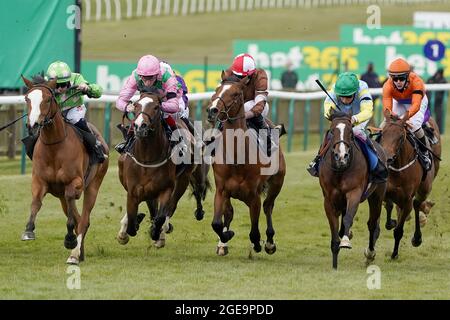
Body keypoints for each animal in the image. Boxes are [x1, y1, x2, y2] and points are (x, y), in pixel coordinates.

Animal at [21, 76, 109, 264]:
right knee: (77, 217)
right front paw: (29, 230)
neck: (54, 147)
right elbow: (36, 202)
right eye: (26, 99)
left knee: (84, 220)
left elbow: (71, 208)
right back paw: (80, 252)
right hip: (60, 195)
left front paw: (69, 240)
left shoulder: (75, 182)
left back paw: (74, 254)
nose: (33, 125)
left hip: (93, 185)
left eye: (48, 99)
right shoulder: (40, 181)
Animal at [117, 92, 207, 248]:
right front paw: (133, 224)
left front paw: (156, 232)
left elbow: (161, 216)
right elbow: (133, 222)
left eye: (156, 107)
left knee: (188, 196)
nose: (140, 126)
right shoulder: (134, 191)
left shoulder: (166, 189)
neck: (147, 159)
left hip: (185, 179)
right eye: (136, 105)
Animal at [207, 74, 286, 256]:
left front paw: (257, 243)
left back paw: (269, 242)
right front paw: (225, 237)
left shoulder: (254, 195)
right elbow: (217, 223)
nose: (212, 110)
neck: (237, 157)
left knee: (268, 206)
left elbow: (254, 230)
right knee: (229, 213)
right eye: (217, 89)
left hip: (277, 182)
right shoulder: (221, 190)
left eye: (236, 93)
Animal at [316, 111, 386, 268]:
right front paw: (335, 263)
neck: (341, 170)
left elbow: (348, 217)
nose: (341, 156)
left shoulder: (354, 193)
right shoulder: (329, 199)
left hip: (377, 196)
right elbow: (334, 228)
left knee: (373, 224)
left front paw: (346, 241)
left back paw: (370, 254)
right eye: (332, 131)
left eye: (350, 133)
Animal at [378, 110, 442, 260]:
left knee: (417, 204)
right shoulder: (385, 190)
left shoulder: (407, 200)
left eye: (401, 137)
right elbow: (388, 207)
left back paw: (417, 237)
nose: (387, 158)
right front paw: (391, 221)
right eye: (382, 133)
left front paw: (394, 254)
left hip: (425, 188)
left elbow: (398, 231)